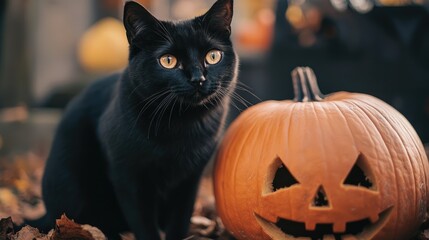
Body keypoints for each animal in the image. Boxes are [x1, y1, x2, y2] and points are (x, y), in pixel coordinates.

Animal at [36, 0, 237, 239]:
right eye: (168, 61)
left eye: (213, 56)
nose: (198, 78)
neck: (182, 125)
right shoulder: (128, 177)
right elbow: (143, 223)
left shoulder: (189, 180)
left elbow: (179, 221)